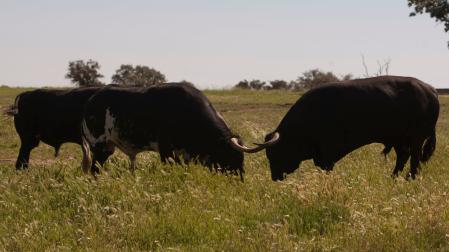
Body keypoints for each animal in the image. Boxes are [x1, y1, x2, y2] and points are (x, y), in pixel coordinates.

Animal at [252, 76, 440, 180]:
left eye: (276, 152)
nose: (275, 177)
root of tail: (430, 89)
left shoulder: (327, 155)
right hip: (398, 139)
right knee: (403, 157)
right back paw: (393, 178)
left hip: (416, 139)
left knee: (414, 158)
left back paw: (410, 178)